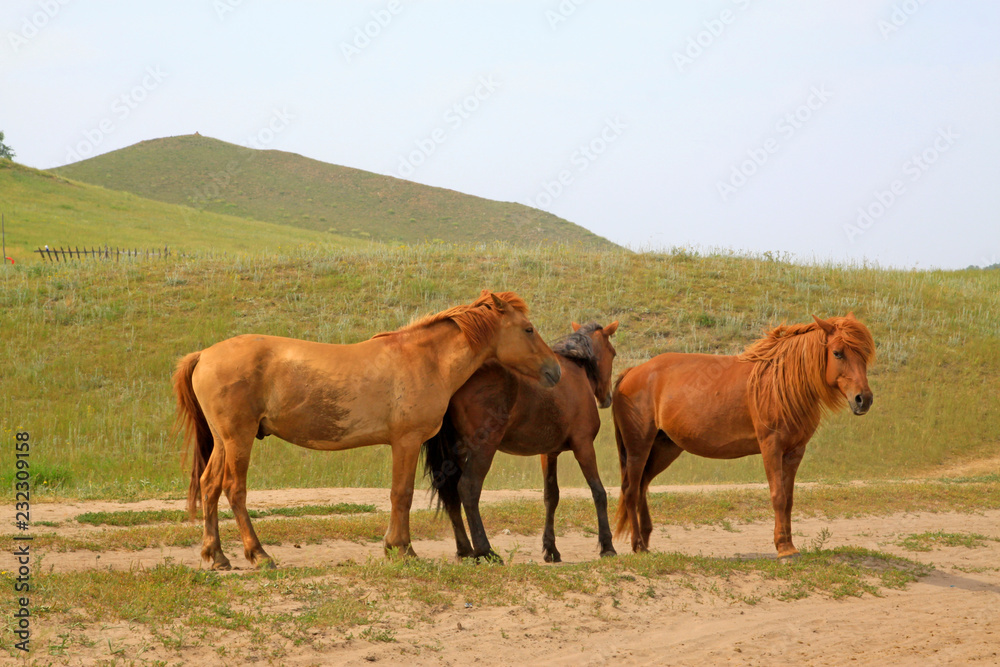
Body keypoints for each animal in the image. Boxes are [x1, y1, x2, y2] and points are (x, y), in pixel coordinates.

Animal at [172, 290, 562, 569]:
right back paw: (258, 555)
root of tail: (204, 355)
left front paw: (396, 547)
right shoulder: (406, 441)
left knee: (209, 486)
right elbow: (401, 494)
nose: (555, 370)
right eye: (528, 329)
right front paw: (402, 549)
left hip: (223, 441)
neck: (426, 360)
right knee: (234, 490)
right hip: (238, 439)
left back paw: (216, 556)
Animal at [424, 320, 620, 563]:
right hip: (483, 449)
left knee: (450, 492)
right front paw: (607, 545)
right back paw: (485, 550)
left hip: (456, 452)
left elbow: (551, 497)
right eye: (613, 353)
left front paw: (551, 549)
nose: (606, 399)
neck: (577, 371)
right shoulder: (584, 446)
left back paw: (465, 550)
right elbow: (599, 492)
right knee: (468, 488)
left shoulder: (549, 453)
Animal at [612, 314, 875, 559]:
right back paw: (637, 543)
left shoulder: (794, 451)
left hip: (664, 448)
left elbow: (788, 500)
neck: (781, 383)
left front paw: (789, 546)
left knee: (642, 486)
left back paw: (645, 542)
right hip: (638, 447)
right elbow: (778, 496)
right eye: (838, 353)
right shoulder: (771, 447)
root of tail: (632, 372)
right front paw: (784, 549)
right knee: (631, 490)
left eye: (865, 354)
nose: (863, 399)